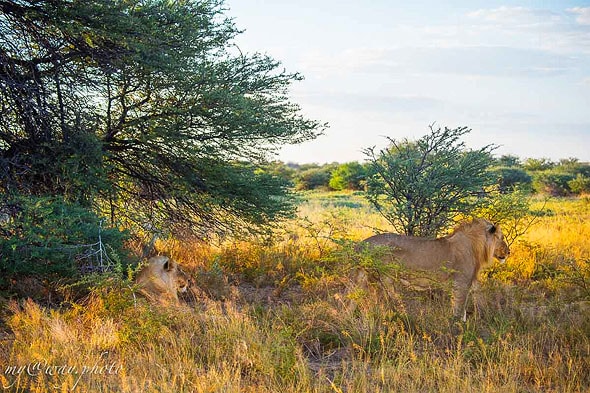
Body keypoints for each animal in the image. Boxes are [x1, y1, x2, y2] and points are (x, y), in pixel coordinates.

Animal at [358, 219, 512, 320]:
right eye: (502, 237)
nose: (509, 252)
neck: (477, 247)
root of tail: (364, 243)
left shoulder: (468, 282)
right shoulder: (461, 283)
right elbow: (459, 310)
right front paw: (458, 331)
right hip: (385, 279)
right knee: (385, 302)